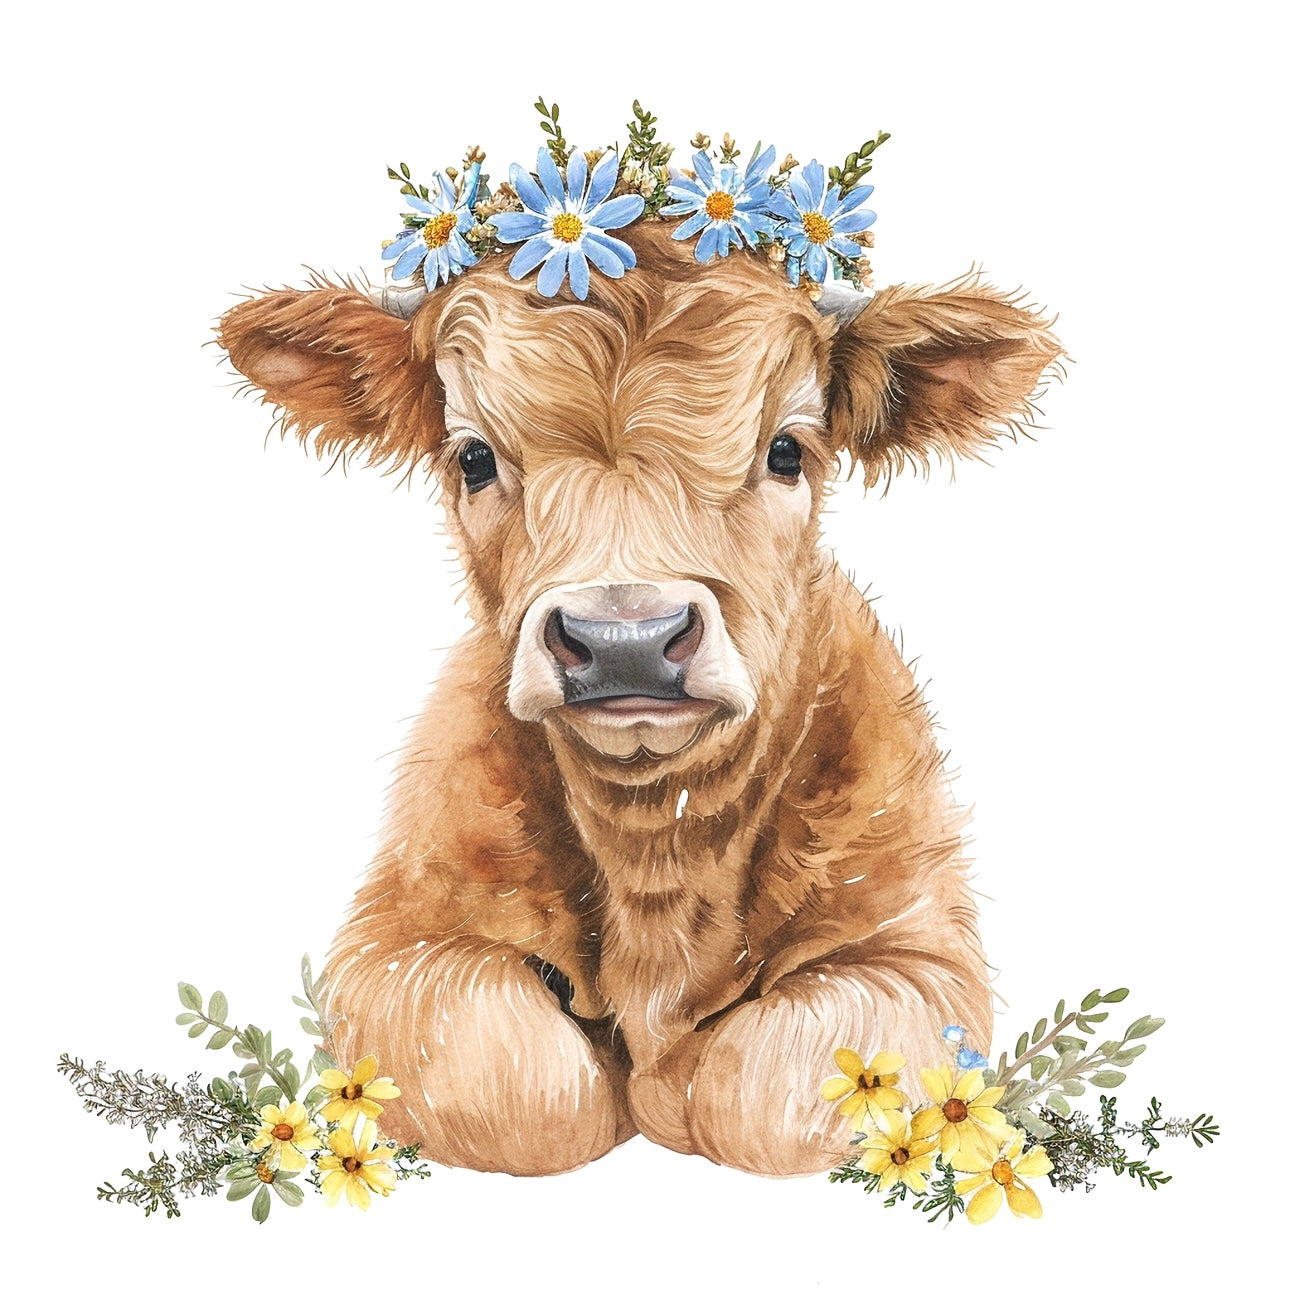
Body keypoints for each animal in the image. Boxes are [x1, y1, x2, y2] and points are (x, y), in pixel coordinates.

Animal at [218, 217, 1062, 1178]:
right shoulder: (394, 946)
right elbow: (530, 1086)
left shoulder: (919, 956)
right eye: (473, 458)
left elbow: (757, 1088)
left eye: (786, 450)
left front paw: (674, 1086)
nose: (626, 639)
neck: (660, 851)